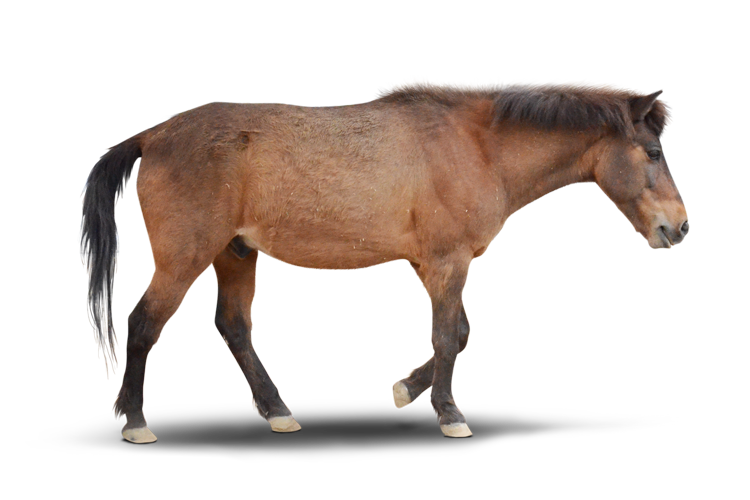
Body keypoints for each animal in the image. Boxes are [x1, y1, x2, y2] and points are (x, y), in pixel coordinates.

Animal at [81, 83, 689, 442]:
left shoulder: (432, 265)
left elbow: (459, 334)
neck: (477, 147)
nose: (678, 227)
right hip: (187, 256)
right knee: (142, 324)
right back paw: (134, 419)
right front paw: (448, 412)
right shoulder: (446, 262)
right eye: (653, 152)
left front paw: (405, 389)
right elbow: (448, 337)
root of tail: (152, 134)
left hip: (235, 253)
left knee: (232, 325)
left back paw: (275, 409)